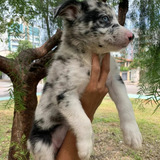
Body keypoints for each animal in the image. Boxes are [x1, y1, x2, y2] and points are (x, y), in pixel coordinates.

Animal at [27, 0, 142, 159]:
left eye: (117, 20)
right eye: (104, 18)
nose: (132, 36)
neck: (89, 56)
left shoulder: (114, 80)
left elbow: (126, 104)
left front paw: (133, 134)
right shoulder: (65, 93)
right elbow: (83, 120)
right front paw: (85, 147)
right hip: (41, 145)